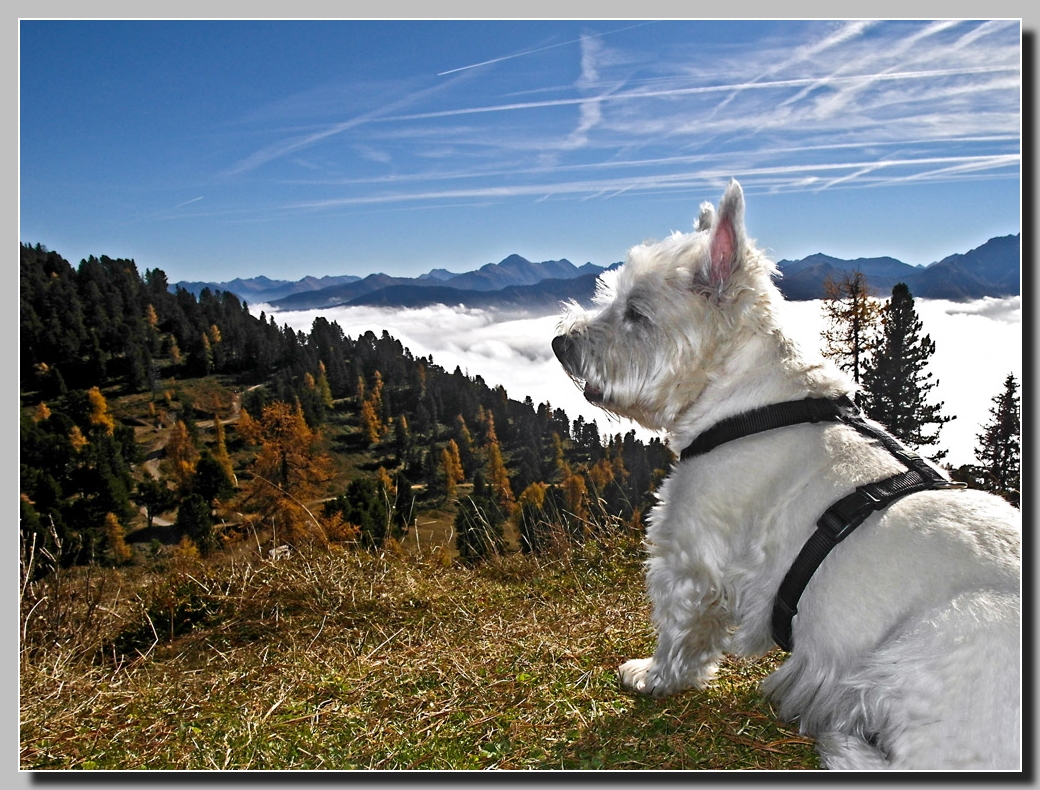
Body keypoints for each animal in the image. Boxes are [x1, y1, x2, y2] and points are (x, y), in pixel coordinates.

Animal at [557, 180, 1019, 773]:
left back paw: (839, 738)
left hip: (934, 648)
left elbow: (680, 631)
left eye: (635, 312)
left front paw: (654, 678)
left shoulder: (690, 556)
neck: (751, 400)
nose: (559, 343)